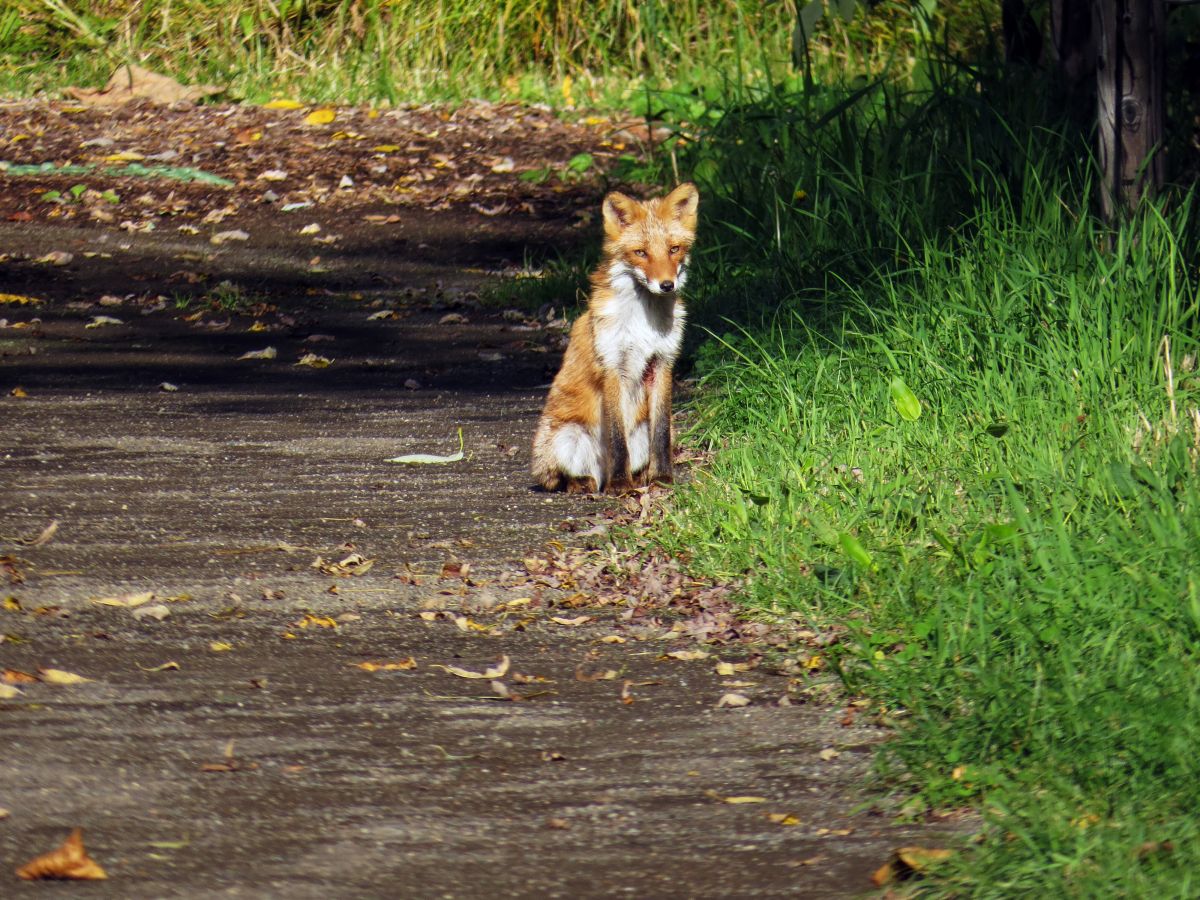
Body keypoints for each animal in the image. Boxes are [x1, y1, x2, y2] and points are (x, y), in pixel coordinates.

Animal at [531, 182, 700, 494]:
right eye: (641, 253)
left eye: (674, 249)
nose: (666, 285)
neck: (643, 322)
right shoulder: (612, 364)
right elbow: (616, 437)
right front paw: (620, 483)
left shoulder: (662, 362)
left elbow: (661, 434)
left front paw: (662, 477)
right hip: (566, 437)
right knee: (562, 478)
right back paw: (587, 482)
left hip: (642, 431)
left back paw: (640, 477)